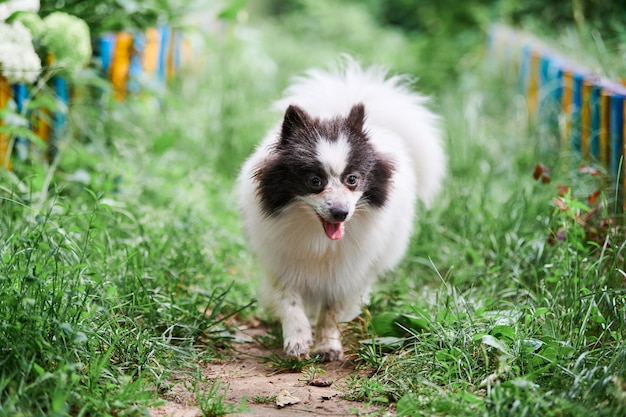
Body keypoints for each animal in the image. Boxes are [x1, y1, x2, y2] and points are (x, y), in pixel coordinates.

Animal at [234, 59, 444, 360]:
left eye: (352, 179)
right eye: (315, 181)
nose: (340, 213)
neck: (320, 239)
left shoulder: (347, 271)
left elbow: (332, 309)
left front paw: (327, 344)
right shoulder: (282, 260)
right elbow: (290, 299)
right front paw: (297, 338)